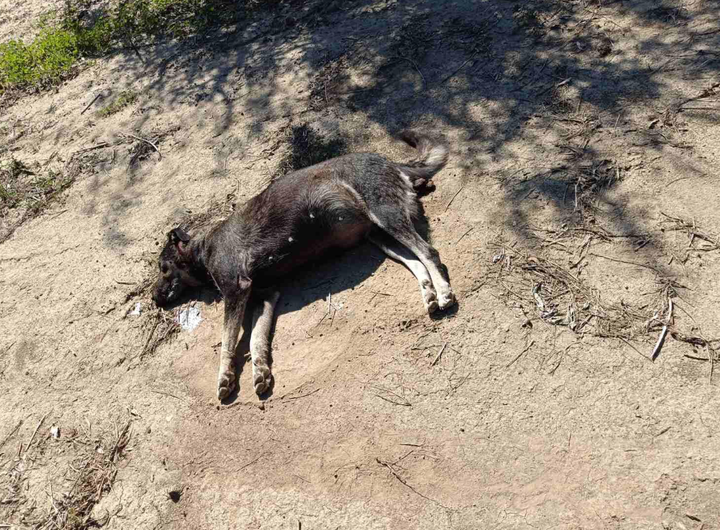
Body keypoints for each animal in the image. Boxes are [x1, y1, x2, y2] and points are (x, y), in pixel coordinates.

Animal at [152, 130, 456, 398]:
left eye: (163, 268)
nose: (154, 298)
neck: (203, 250)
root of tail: (390, 161)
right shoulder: (265, 296)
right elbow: (256, 340)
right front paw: (260, 371)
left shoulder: (236, 290)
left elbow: (228, 340)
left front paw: (224, 377)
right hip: (379, 235)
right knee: (417, 261)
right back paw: (428, 293)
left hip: (386, 214)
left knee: (429, 252)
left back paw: (442, 292)